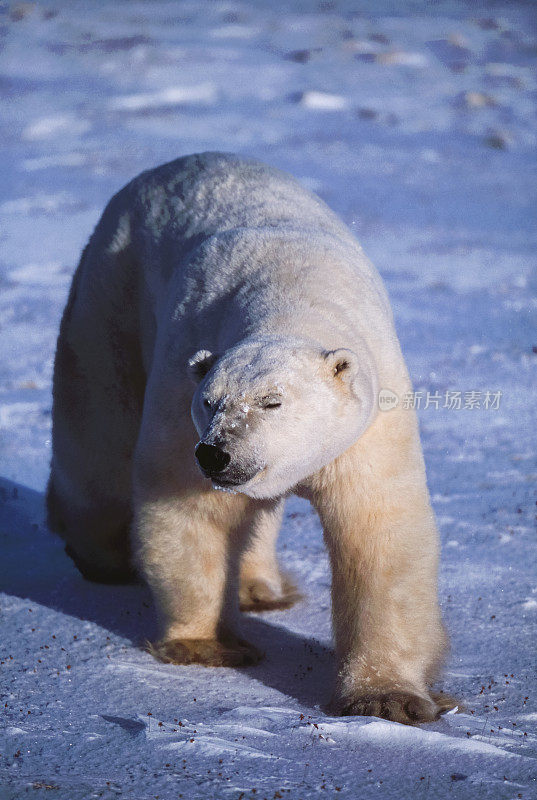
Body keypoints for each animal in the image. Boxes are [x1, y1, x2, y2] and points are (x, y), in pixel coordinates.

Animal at [46, 152, 450, 724]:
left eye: (272, 402)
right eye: (211, 402)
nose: (216, 454)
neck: (291, 294)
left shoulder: (370, 424)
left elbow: (378, 534)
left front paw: (387, 698)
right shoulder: (181, 386)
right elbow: (194, 511)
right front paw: (209, 647)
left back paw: (259, 587)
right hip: (112, 295)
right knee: (99, 430)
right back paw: (100, 556)